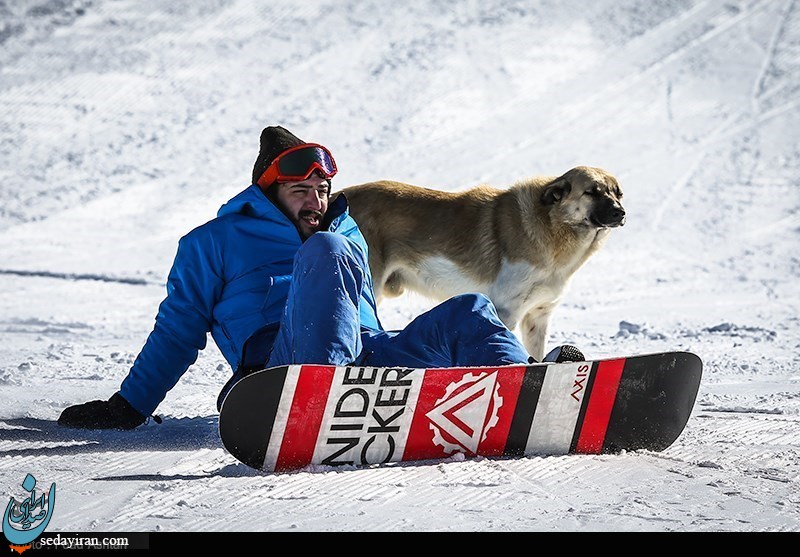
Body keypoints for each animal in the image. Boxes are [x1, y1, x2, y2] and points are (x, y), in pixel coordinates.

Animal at [338, 165, 624, 360]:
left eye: (618, 193)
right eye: (591, 192)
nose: (620, 213)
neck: (553, 227)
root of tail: (338, 196)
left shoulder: (538, 317)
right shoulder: (506, 312)